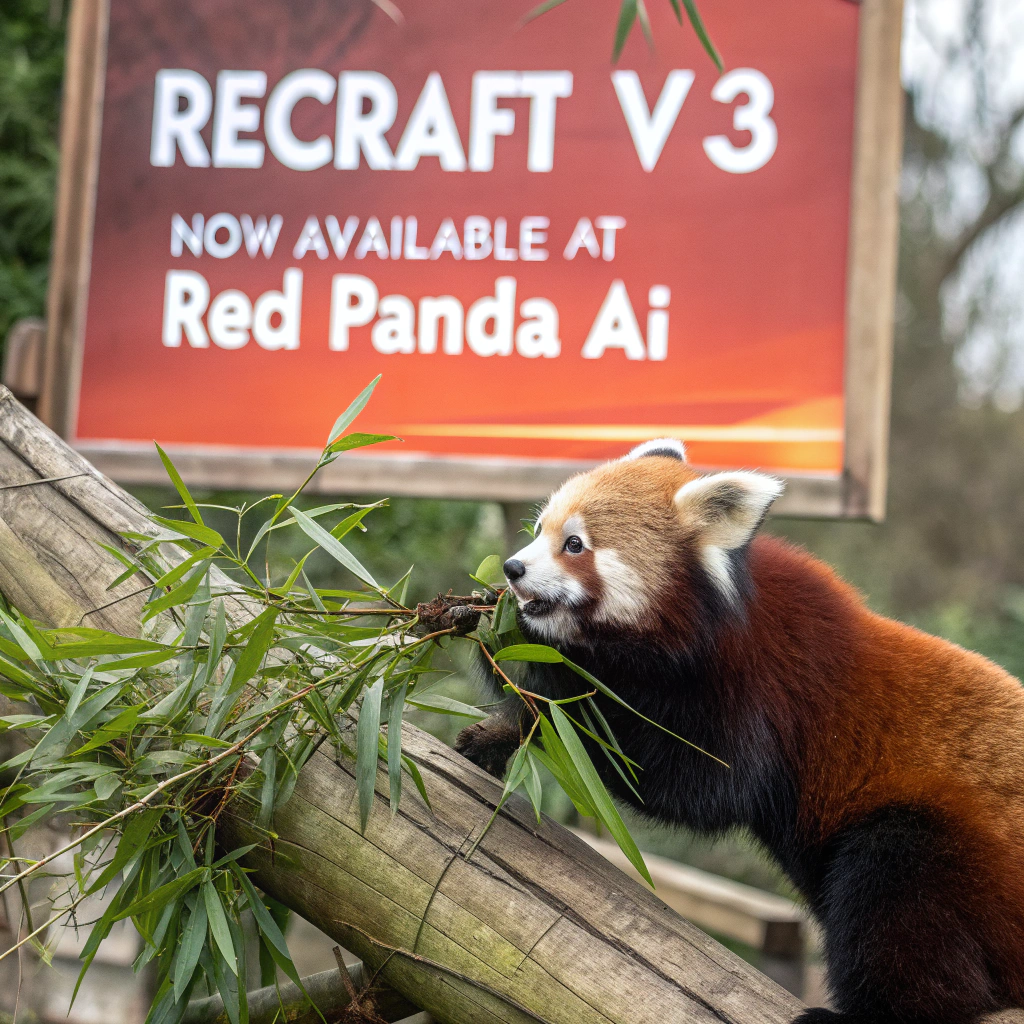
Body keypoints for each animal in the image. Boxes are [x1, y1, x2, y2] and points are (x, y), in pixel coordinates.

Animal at [455, 439, 1024, 1024]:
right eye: (538, 527)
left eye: (575, 545)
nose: (512, 568)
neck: (710, 616)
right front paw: (498, 708)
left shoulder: (759, 691)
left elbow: (693, 784)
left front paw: (527, 659)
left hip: (957, 862)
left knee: (895, 887)